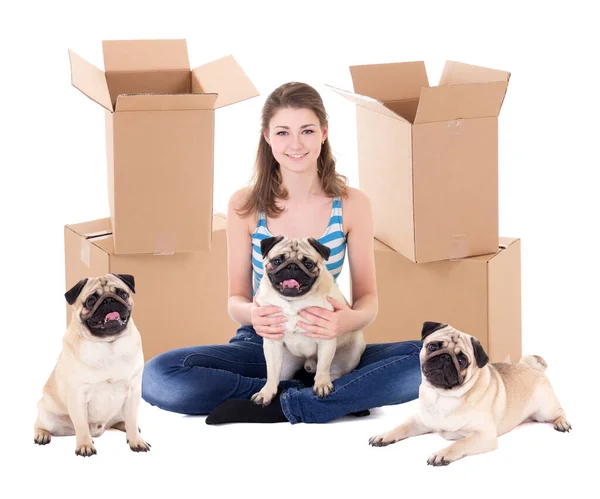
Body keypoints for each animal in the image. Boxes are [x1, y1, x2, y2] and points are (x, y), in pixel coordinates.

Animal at [33, 274, 150, 458]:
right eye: (91, 300)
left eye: (122, 294)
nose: (109, 300)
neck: (108, 344)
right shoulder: (78, 395)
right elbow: (81, 425)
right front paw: (85, 445)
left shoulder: (133, 392)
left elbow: (132, 419)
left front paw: (136, 440)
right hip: (48, 416)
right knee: (40, 424)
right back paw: (42, 434)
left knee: (121, 421)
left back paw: (125, 426)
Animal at [252, 237, 366, 406]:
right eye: (277, 261)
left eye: (308, 264)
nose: (292, 266)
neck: (292, 302)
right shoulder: (272, 342)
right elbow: (271, 372)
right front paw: (266, 392)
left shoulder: (326, 336)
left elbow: (323, 367)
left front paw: (322, 384)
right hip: (286, 363)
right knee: (280, 375)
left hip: (351, 352)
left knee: (334, 371)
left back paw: (329, 381)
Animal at [368, 322, 568, 466]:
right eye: (433, 346)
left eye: (462, 360)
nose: (445, 357)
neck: (442, 396)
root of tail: (530, 366)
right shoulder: (419, 422)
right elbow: (401, 427)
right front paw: (384, 435)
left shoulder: (483, 435)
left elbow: (459, 443)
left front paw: (442, 454)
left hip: (545, 410)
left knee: (560, 411)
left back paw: (562, 423)